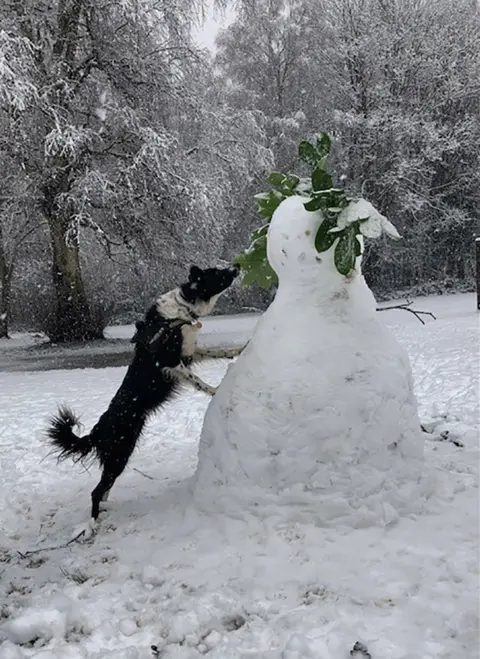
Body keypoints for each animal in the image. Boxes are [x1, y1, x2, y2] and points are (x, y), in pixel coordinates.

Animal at [46, 266, 240, 524]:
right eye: (218, 273)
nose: (237, 267)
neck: (183, 306)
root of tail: (97, 430)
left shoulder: (191, 351)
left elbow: (218, 351)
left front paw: (239, 349)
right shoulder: (170, 362)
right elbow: (198, 381)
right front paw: (216, 390)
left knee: (104, 489)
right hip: (120, 454)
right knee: (96, 491)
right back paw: (93, 524)